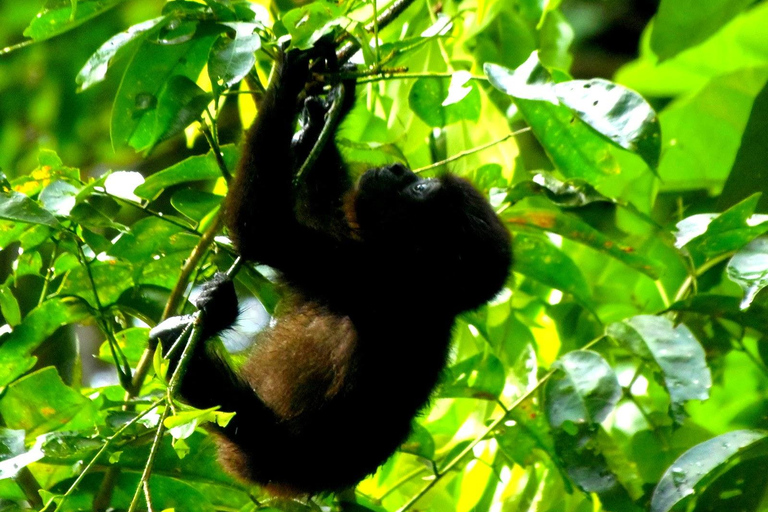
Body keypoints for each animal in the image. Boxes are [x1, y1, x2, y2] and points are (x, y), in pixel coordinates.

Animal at [152, 46, 510, 494]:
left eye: (419, 190)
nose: (399, 170)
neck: (425, 285)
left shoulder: (364, 275)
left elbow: (264, 230)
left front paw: (287, 80)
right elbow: (325, 207)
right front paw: (323, 115)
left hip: (258, 436)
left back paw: (189, 336)